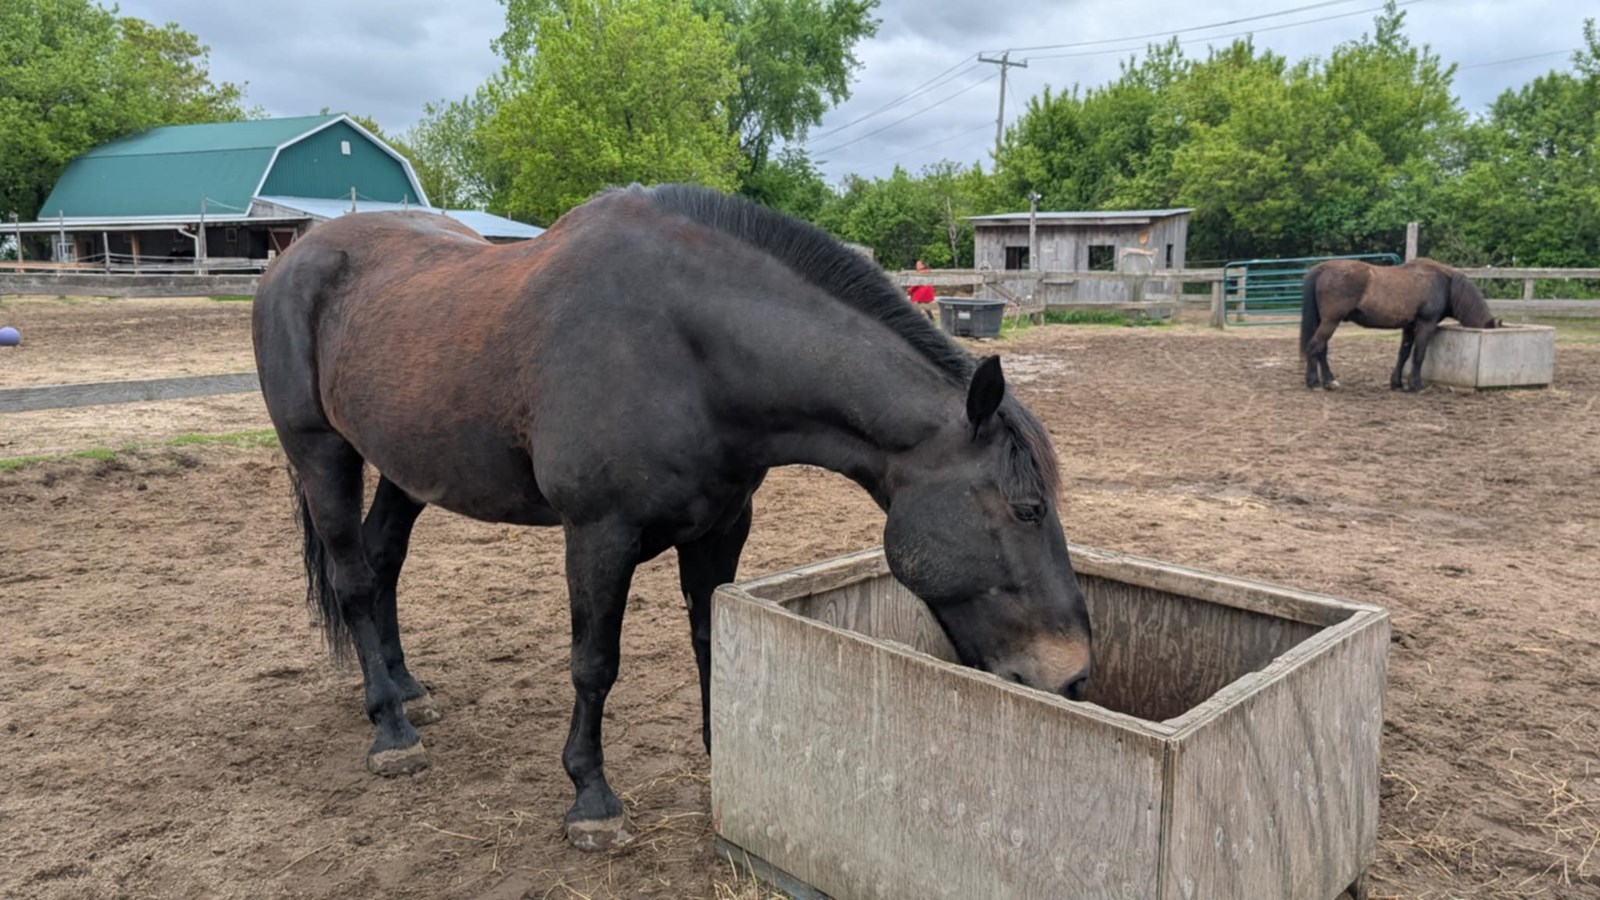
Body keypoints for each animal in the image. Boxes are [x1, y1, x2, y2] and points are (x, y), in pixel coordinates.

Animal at [251, 183, 1093, 851]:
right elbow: (594, 663)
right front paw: (590, 799)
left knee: (383, 563)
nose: (1075, 674)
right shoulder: (598, 535)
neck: (692, 352)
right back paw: (391, 727)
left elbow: (710, 638)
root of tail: (292, 259)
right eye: (1027, 508)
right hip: (321, 453)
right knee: (354, 579)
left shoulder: (722, 528)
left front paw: (727, 755)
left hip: (405, 465)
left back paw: (405, 686)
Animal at [1300, 257, 1500, 391]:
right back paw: (1313, 382)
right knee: (1315, 346)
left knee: (1321, 350)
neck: (1445, 284)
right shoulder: (1426, 324)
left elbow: (1403, 354)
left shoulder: (1409, 326)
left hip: (1325, 322)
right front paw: (1416, 385)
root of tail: (1322, 268)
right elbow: (1419, 354)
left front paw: (1396, 383)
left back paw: (1328, 381)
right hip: (1330, 322)